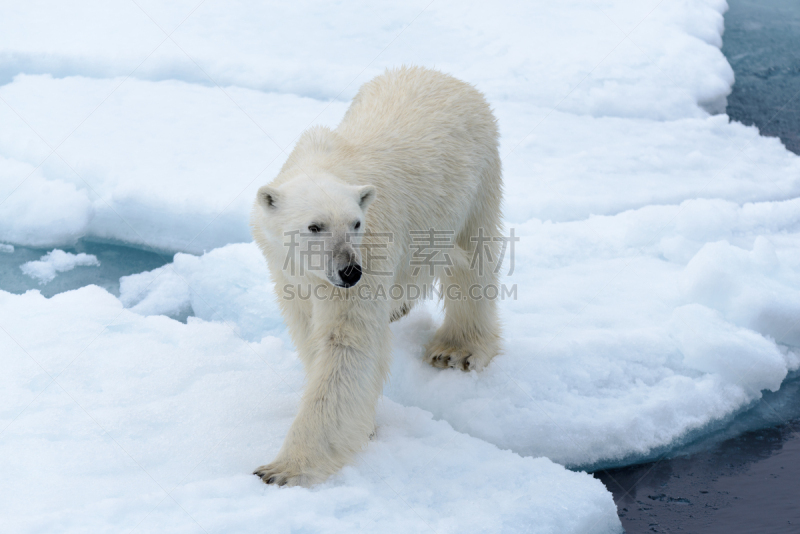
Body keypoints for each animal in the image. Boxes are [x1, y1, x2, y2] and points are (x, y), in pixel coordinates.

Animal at [252, 65, 500, 488]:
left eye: (355, 223)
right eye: (314, 226)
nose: (349, 271)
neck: (325, 162)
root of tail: (446, 76)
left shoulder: (372, 249)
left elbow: (347, 343)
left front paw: (283, 469)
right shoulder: (287, 269)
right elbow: (311, 331)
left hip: (478, 180)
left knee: (473, 265)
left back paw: (457, 350)